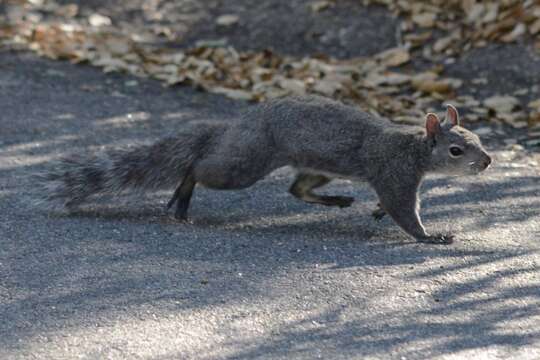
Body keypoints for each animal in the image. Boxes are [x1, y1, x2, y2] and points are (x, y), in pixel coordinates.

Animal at [38, 95, 492, 245]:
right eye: (456, 150)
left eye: (478, 137)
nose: (487, 161)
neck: (413, 146)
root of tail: (235, 126)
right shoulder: (395, 174)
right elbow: (404, 210)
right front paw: (432, 236)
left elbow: (390, 206)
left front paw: (376, 211)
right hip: (244, 164)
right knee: (199, 167)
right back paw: (183, 195)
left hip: (314, 165)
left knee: (298, 189)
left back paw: (338, 199)